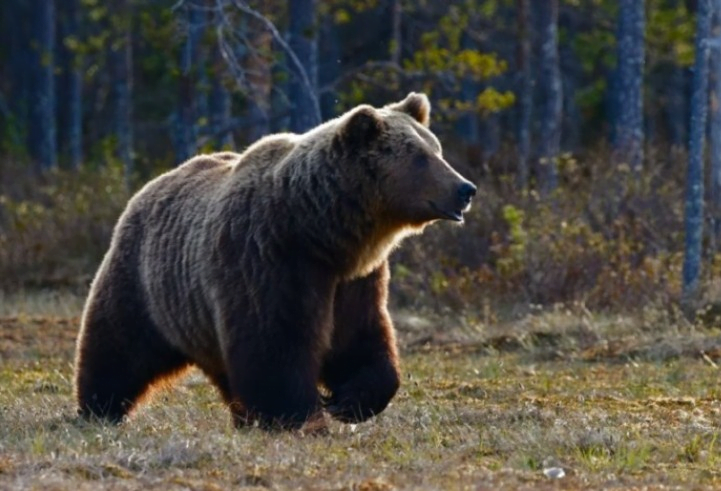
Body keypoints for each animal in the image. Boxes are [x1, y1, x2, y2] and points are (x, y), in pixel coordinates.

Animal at [73, 92, 476, 430]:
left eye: (436, 149)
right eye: (420, 157)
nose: (465, 188)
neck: (321, 231)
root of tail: (150, 185)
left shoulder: (355, 279)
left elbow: (360, 338)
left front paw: (348, 401)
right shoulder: (269, 259)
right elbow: (275, 343)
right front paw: (298, 415)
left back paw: (242, 417)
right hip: (145, 281)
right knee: (118, 345)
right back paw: (99, 408)